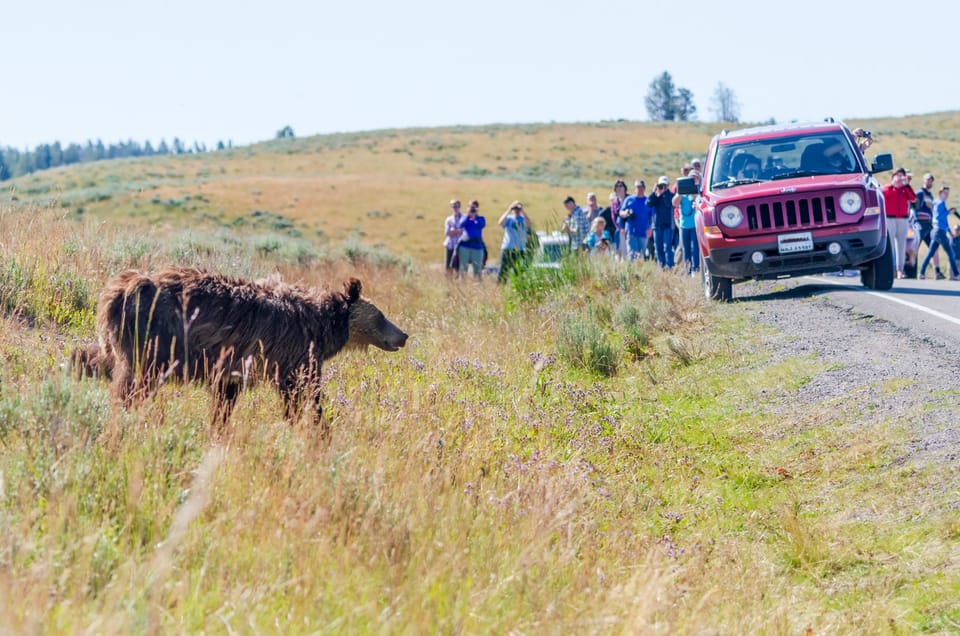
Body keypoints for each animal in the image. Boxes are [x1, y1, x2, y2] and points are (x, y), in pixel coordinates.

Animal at [92, 266, 404, 424]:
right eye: (381, 315)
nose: (403, 335)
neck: (322, 325)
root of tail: (114, 292)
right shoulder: (294, 355)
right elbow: (303, 395)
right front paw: (316, 427)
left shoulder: (233, 366)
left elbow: (225, 399)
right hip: (154, 342)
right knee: (133, 386)